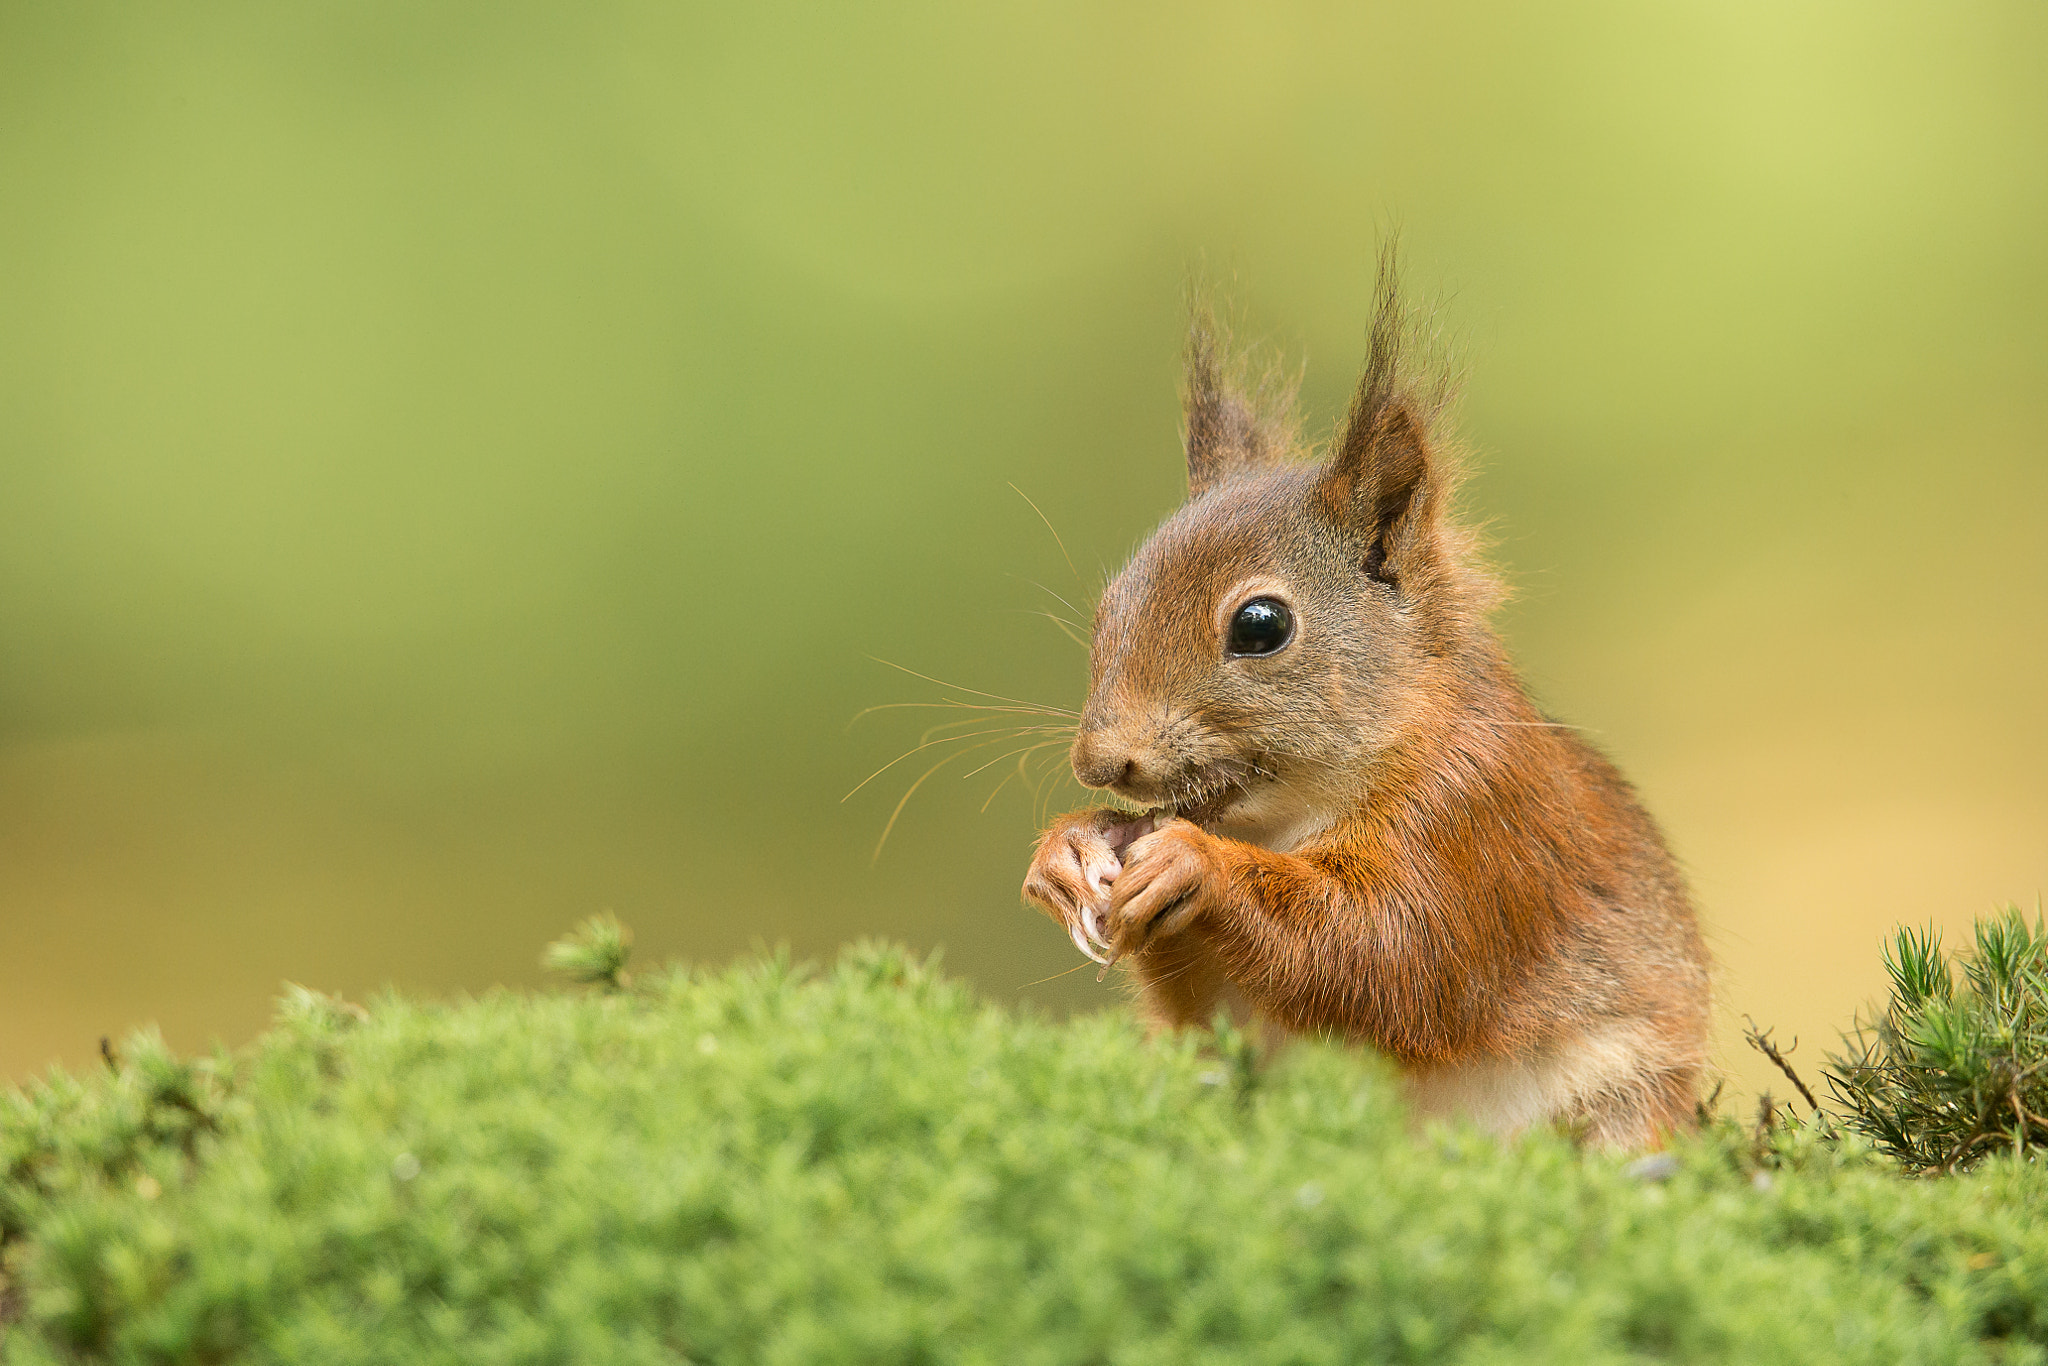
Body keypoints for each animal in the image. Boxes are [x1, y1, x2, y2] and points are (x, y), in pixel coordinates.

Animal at [1024, 250, 1712, 1146]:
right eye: (1111, 606)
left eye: (1260, 625)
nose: (1102, 762)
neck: (1285, 819)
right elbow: (1213, 1012)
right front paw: (1068, 850)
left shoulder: (1476, 822)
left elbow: (1391, 958)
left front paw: (1195, 861)